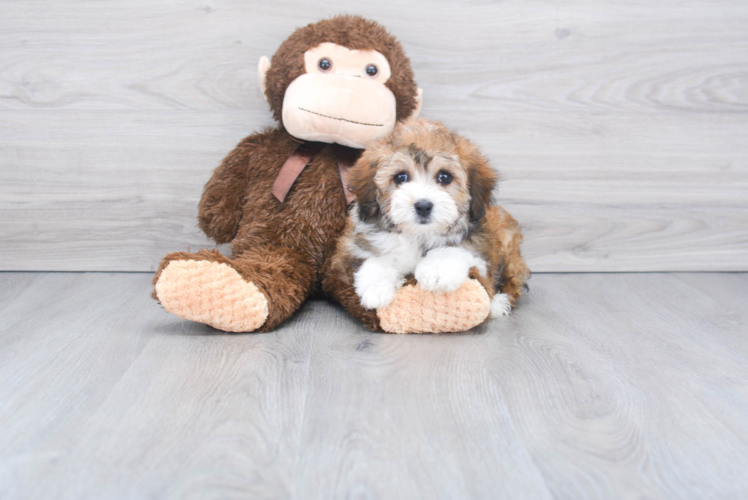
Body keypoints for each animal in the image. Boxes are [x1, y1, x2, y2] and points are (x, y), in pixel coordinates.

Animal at [336, 116, 528, 316]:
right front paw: (376, 285)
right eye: (400, 177)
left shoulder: (480, 253)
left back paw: (499, 303)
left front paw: (437, 271)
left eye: (445, 177)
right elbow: (376, 255)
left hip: (510, 248)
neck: (419, 235)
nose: (423, 206)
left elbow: (456, 249)